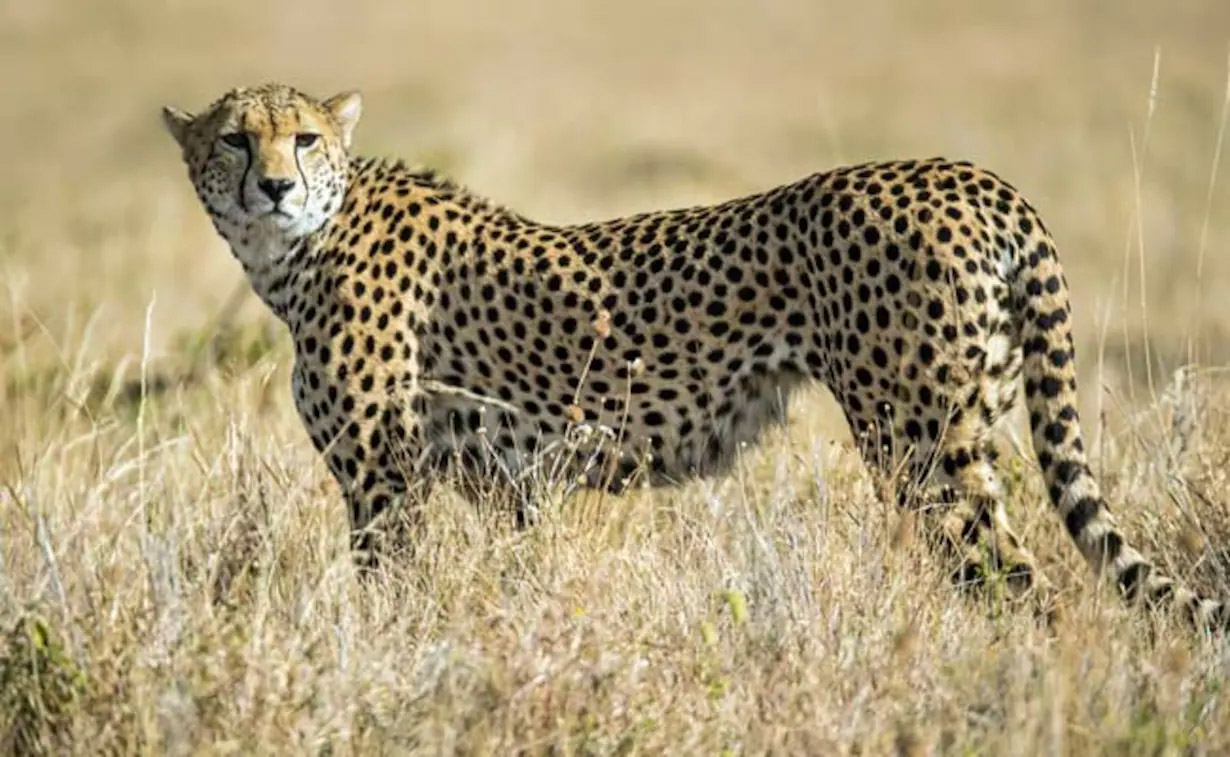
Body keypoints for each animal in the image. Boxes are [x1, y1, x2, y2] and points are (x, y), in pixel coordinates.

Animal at [162, 82, 1225, 629]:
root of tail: (970, 174)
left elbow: (388, 594)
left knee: (1019, 582)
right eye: (234, 139)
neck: (300, 248)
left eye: (303, 137)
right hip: (975, 412)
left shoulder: (384, 482)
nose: (273, 186)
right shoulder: (505, 485)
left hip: (922, 444)